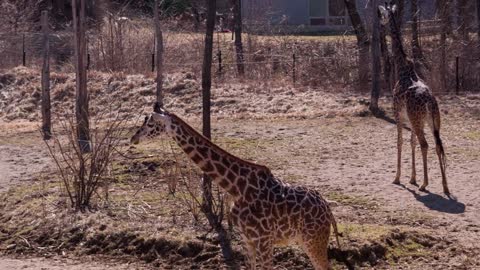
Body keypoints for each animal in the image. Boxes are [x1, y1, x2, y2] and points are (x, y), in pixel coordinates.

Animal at [129, 102, 340, 268]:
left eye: (150, 123)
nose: (133, 138)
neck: (237, 187)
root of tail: (328, 209)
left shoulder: (264, 241)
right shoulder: (248, 240)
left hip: (314, 240)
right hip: (308, 240)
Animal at [378, 3, 450, 195]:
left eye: (383, 14)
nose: (380, 24)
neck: (403, 69)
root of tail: (429, 101)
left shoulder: (398, 114)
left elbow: (400, 142)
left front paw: (397, 178)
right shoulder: (411, 119)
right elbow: (412, 142)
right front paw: (412, 178)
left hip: (419, 121)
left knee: (425, 144)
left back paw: (426, 184)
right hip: (433, 121)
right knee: (438, 145)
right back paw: (445, 187)